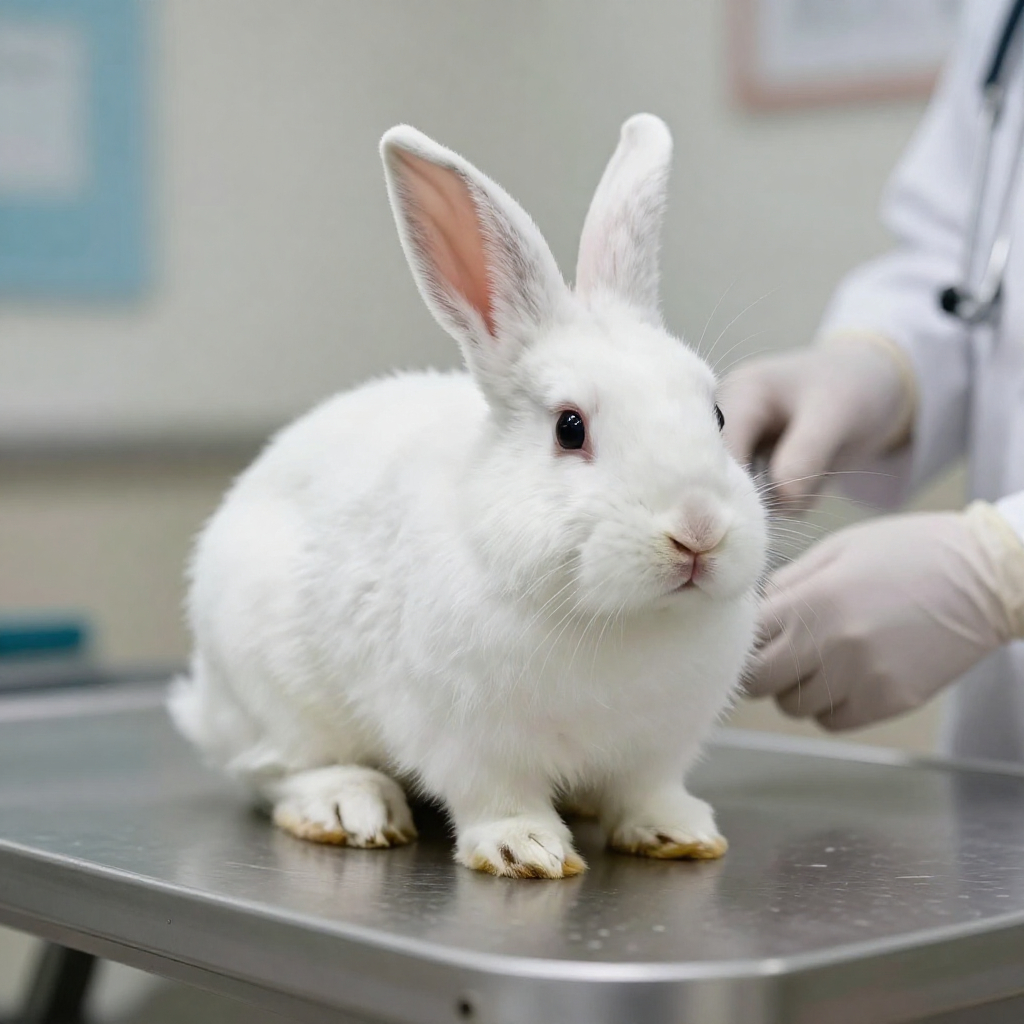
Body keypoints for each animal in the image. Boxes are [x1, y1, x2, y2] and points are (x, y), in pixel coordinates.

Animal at [169, 113, 767, 879]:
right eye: (569, 427)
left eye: (716, 415)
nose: (697, 530)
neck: (620, 621)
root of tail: (207, 704)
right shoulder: (465, 737)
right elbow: (497, 797)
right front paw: (525, 850)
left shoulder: (657, 749)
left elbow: (648, 791)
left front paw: (678, 834)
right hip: (273, 689)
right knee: (275, 770)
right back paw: (349, 806)